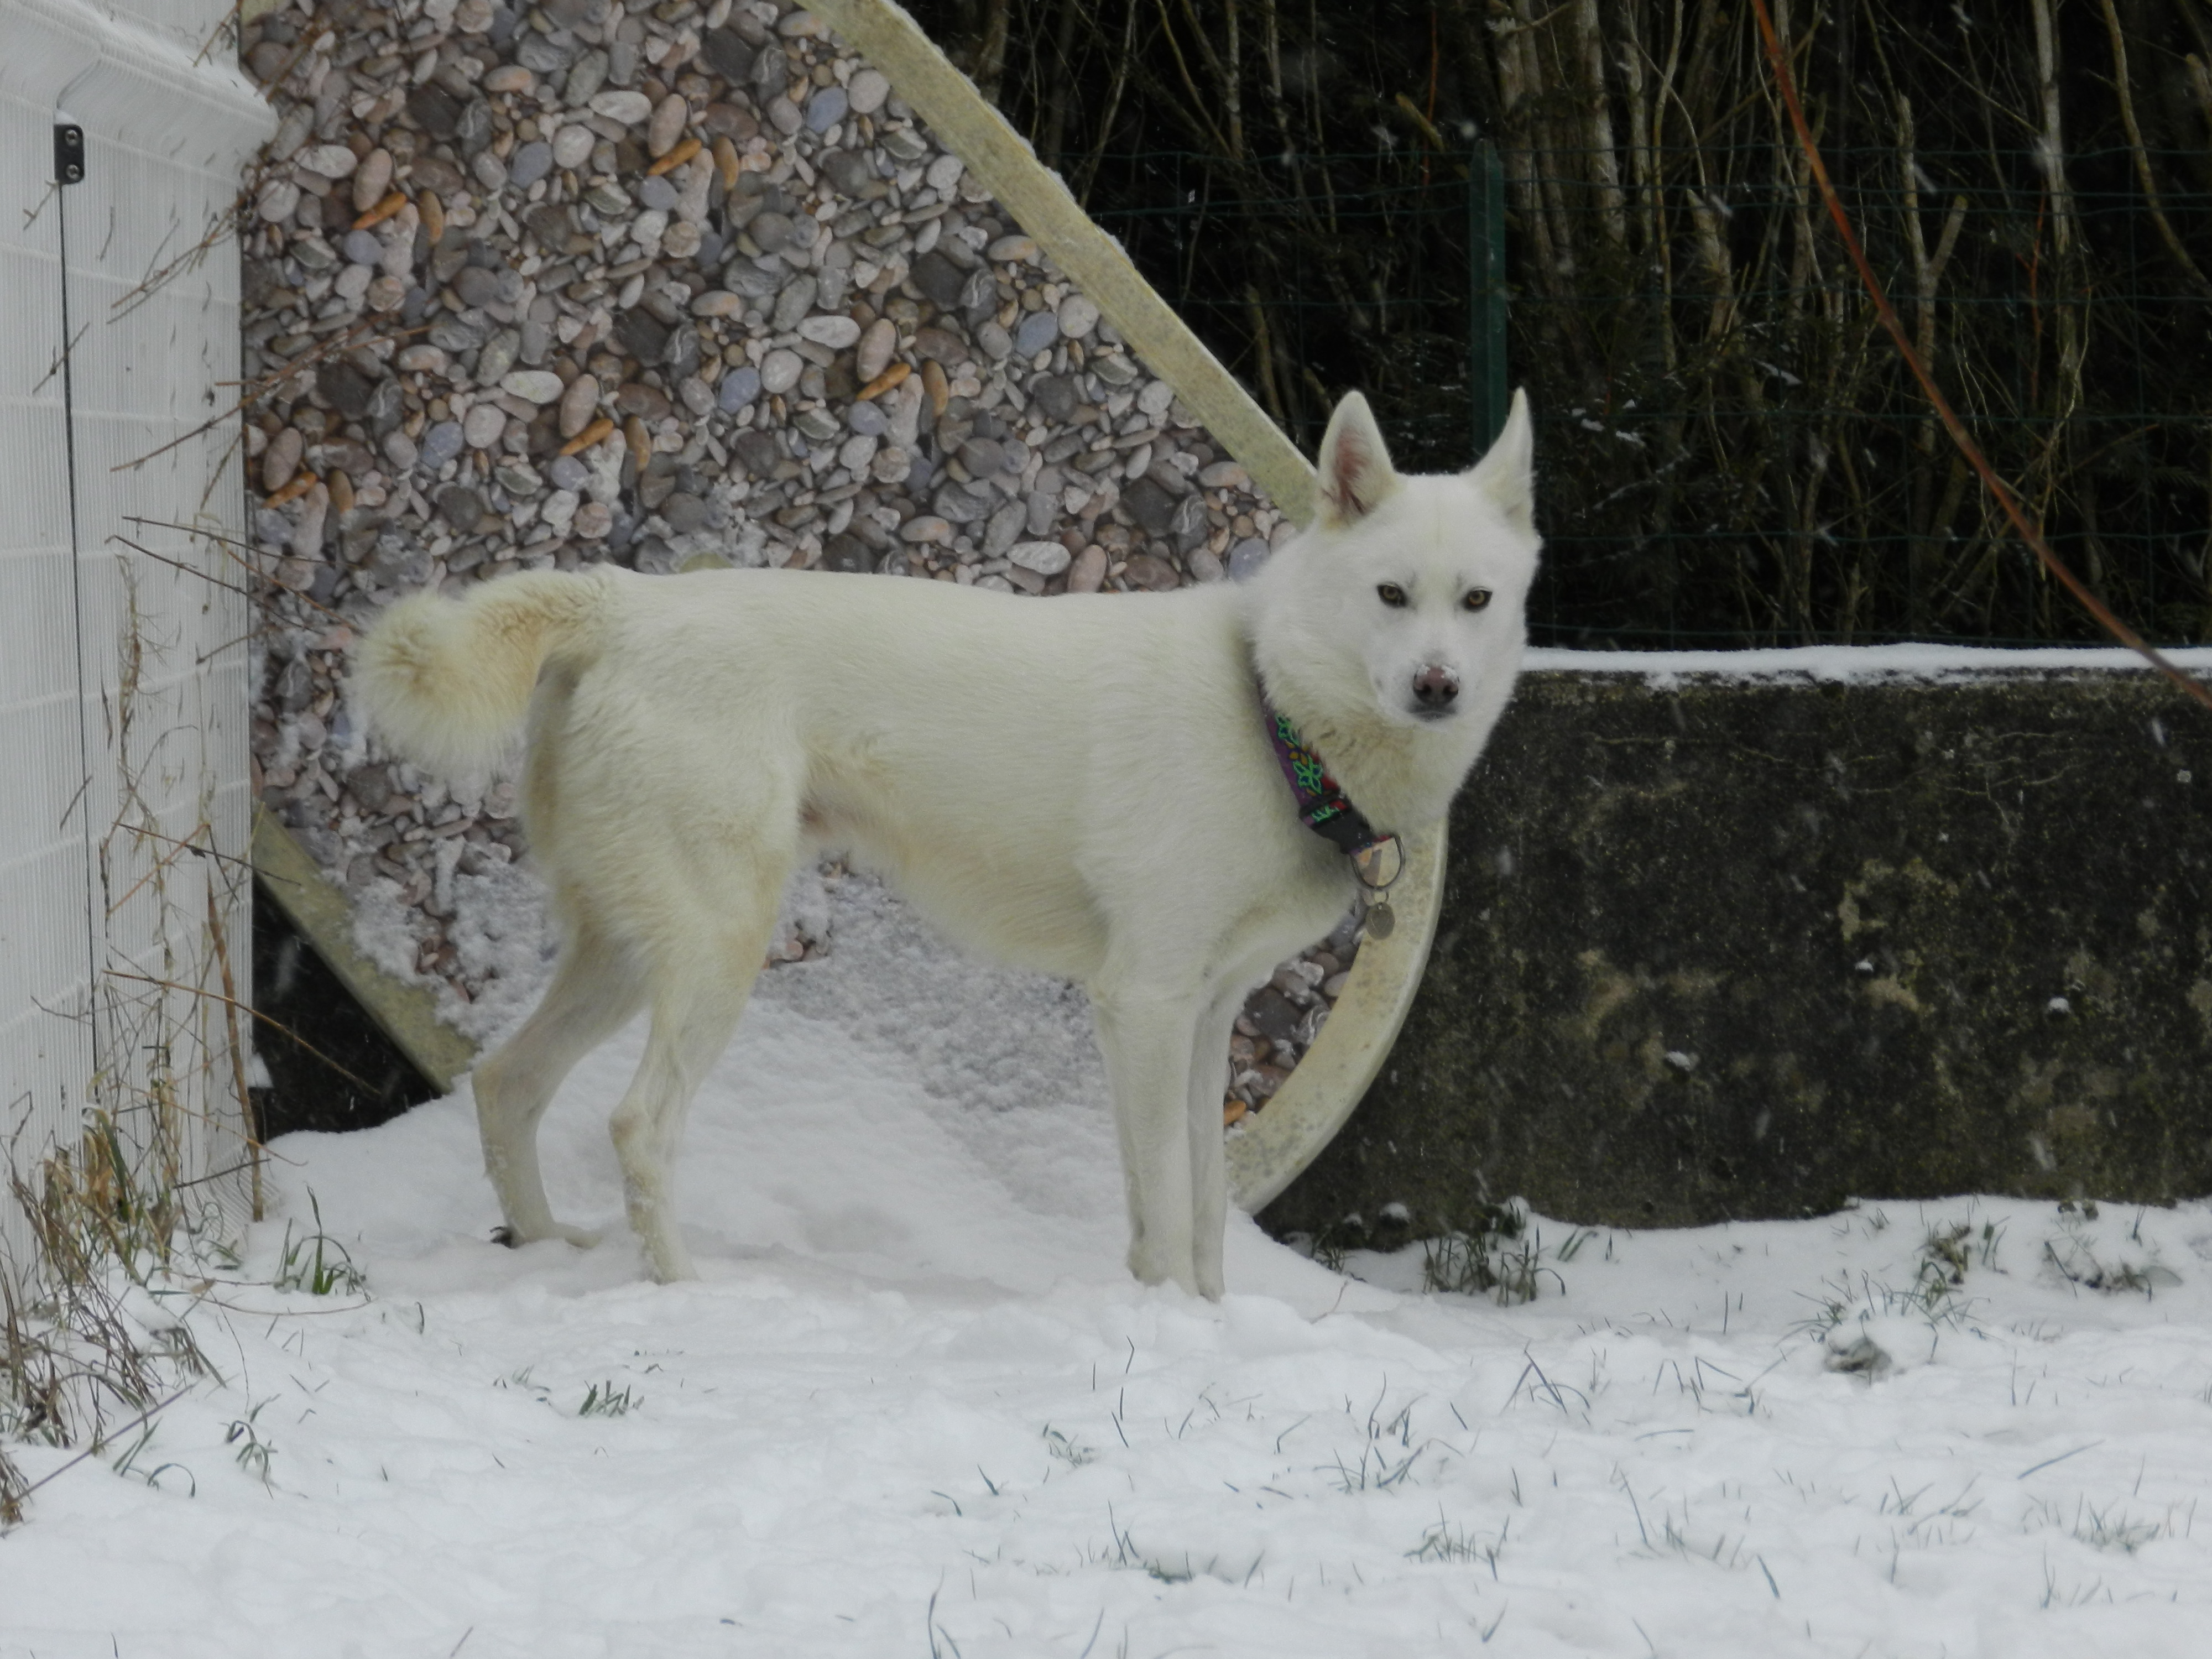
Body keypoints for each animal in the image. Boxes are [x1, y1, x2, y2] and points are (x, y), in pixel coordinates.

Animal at [358, 389, 1540, 1301]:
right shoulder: (1145, 1006)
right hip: (715, 949)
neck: (1269, 705)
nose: (1438, 688)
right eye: (1390, 595)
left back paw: (545, 1254)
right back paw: (689, 1294)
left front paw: (1210, 1323)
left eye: (1477, 600)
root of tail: (625, 604)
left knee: (507, 1083)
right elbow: (1162, 1202)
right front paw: (1164, 1324)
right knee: (639, 1126)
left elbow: (1203, 1204)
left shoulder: (1206, 1018)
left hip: (622, 947)